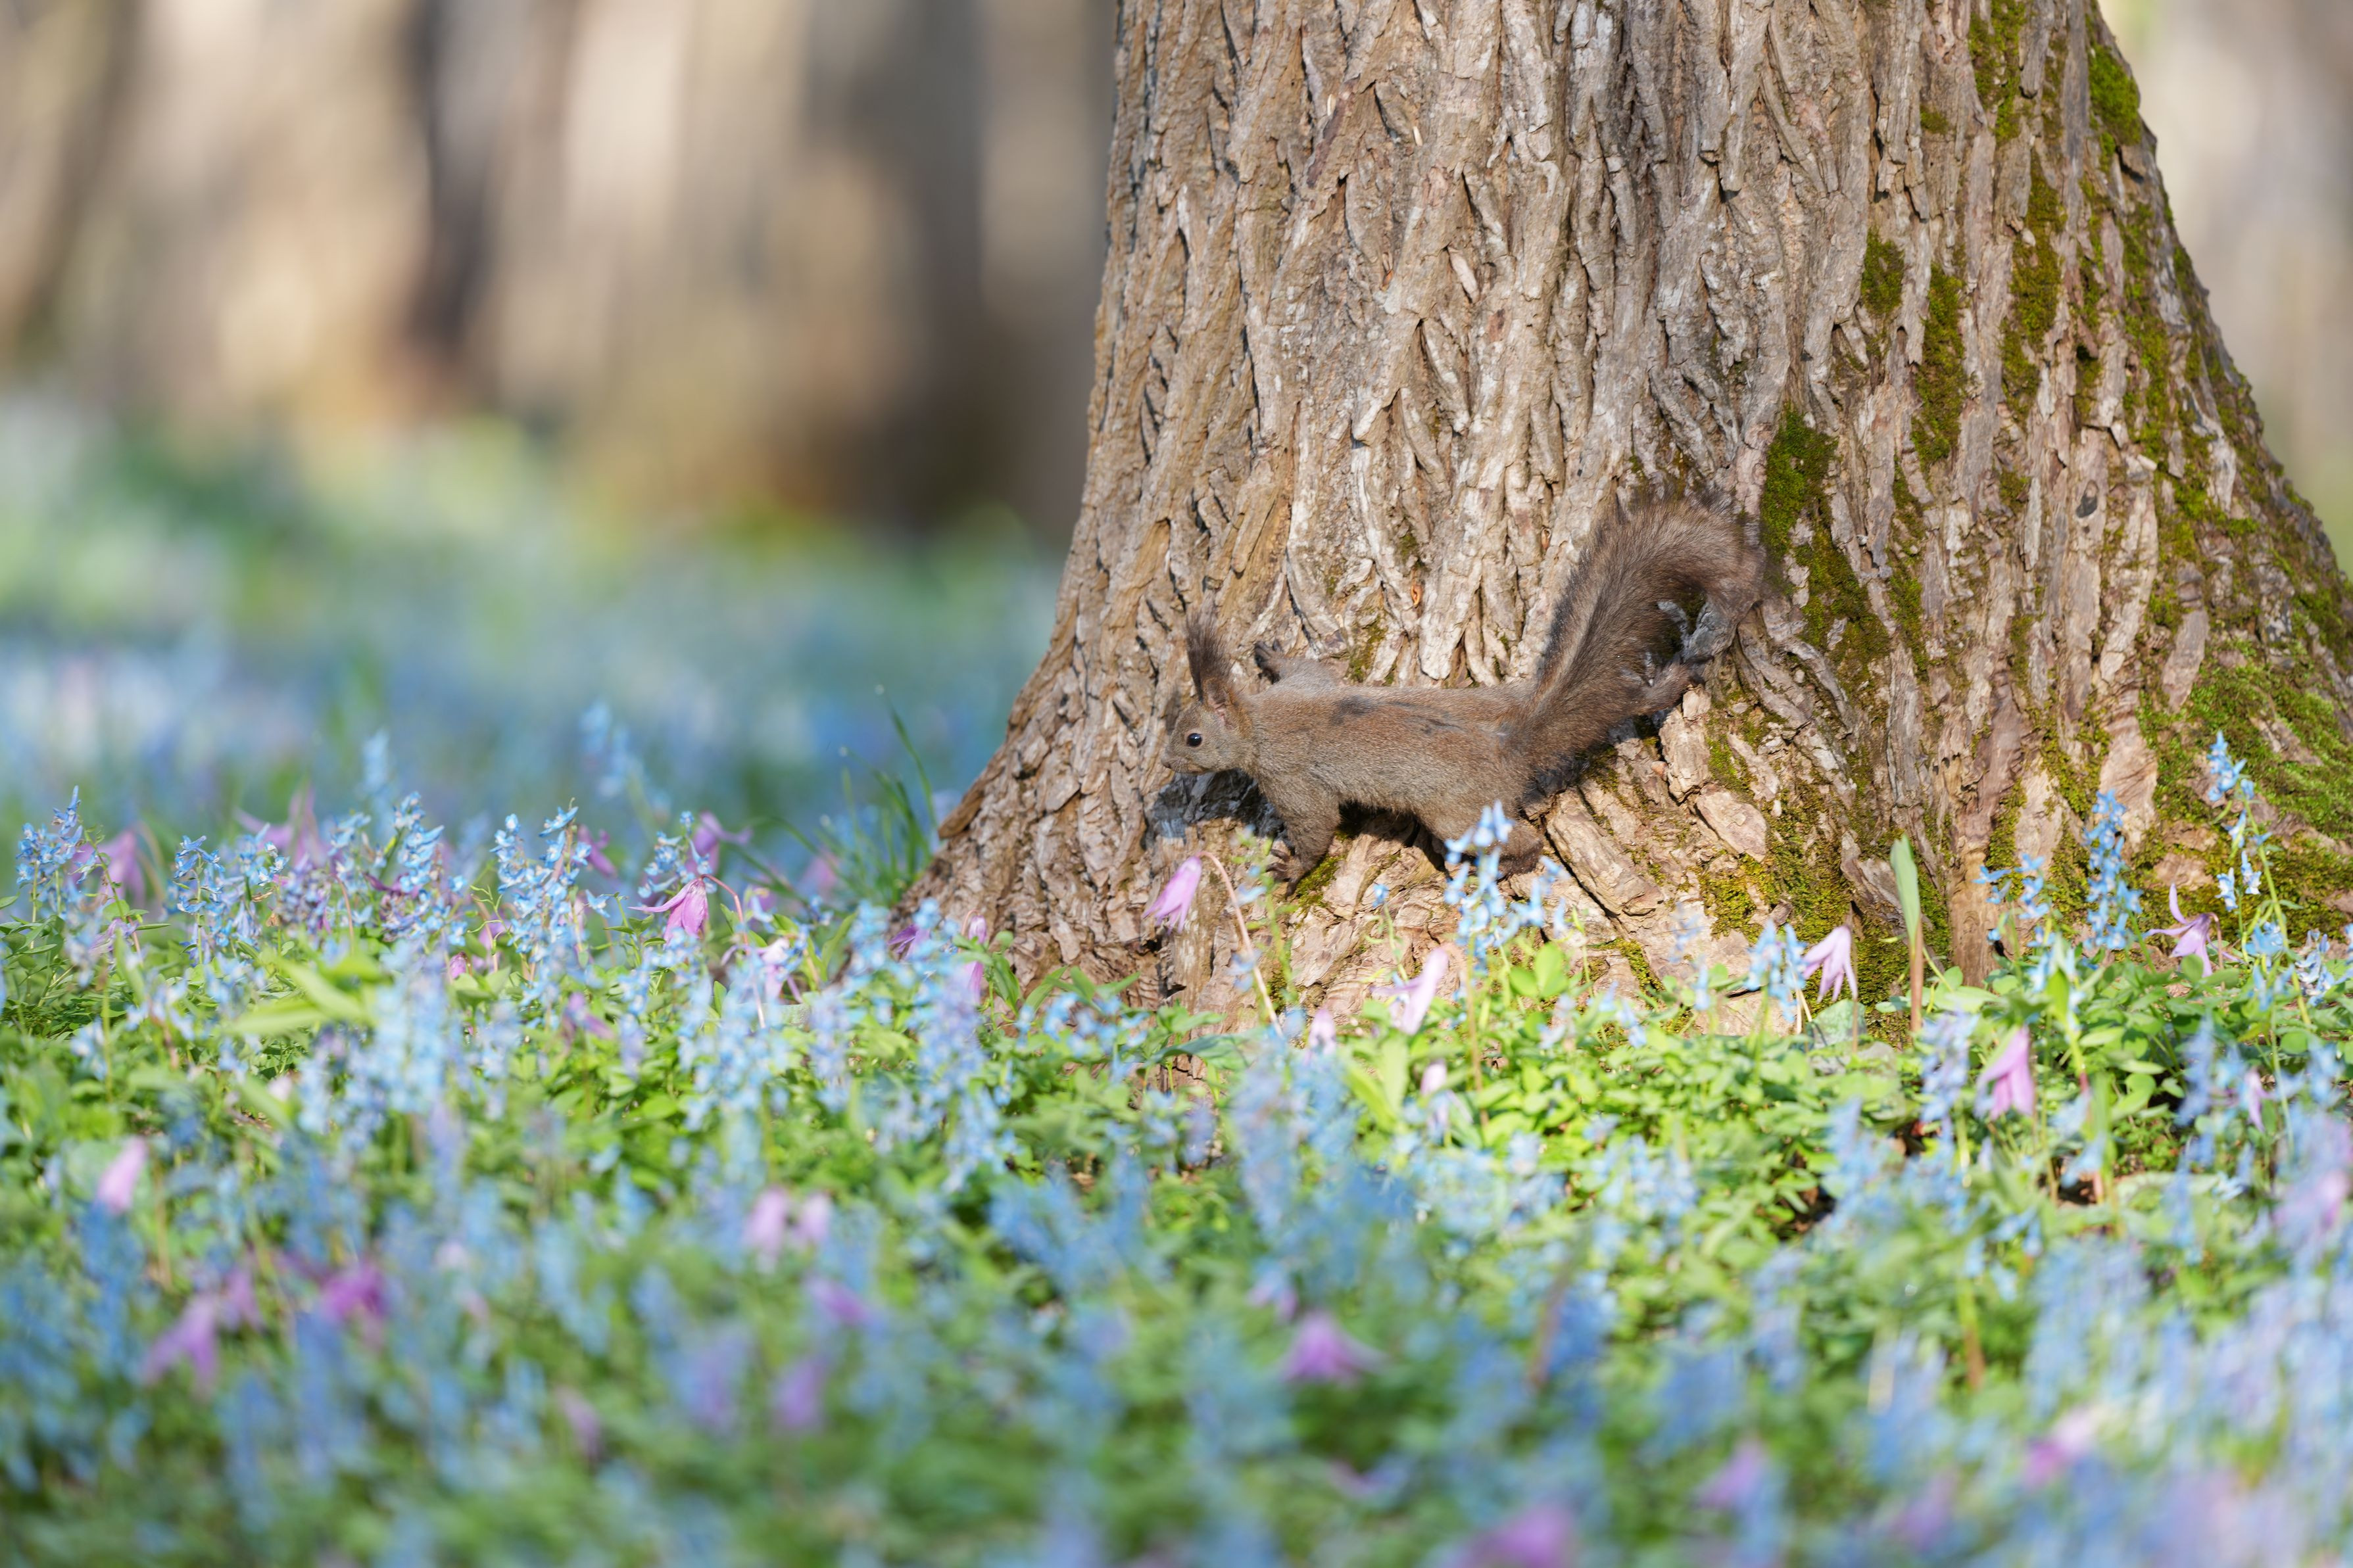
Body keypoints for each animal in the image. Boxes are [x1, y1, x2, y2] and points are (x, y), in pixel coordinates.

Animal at [1161, 495, 1763, 883]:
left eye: (1193, 738)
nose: (1167, 763)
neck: (1259, 722)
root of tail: (1511, 747)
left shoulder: (1290, 779)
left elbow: (1316, 827)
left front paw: (1292, 867)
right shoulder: (1307, 686)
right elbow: (1313, 669)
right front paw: (1269, 655)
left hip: (1457, 815)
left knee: (1520, 840)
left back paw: (1506, 867)